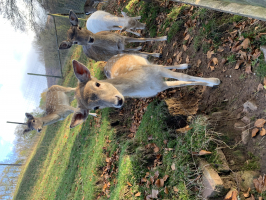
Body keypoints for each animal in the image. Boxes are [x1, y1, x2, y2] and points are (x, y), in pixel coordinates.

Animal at [69, 54, 220, 127]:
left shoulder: (156, 72)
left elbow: (184, 77)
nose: (118, 101)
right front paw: (211, 83)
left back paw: (184, 65)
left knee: (160, 64)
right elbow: (180, 83)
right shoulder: (160, 86)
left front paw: (215, 80)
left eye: (97, 84)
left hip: (146, 62)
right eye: (95, 107)